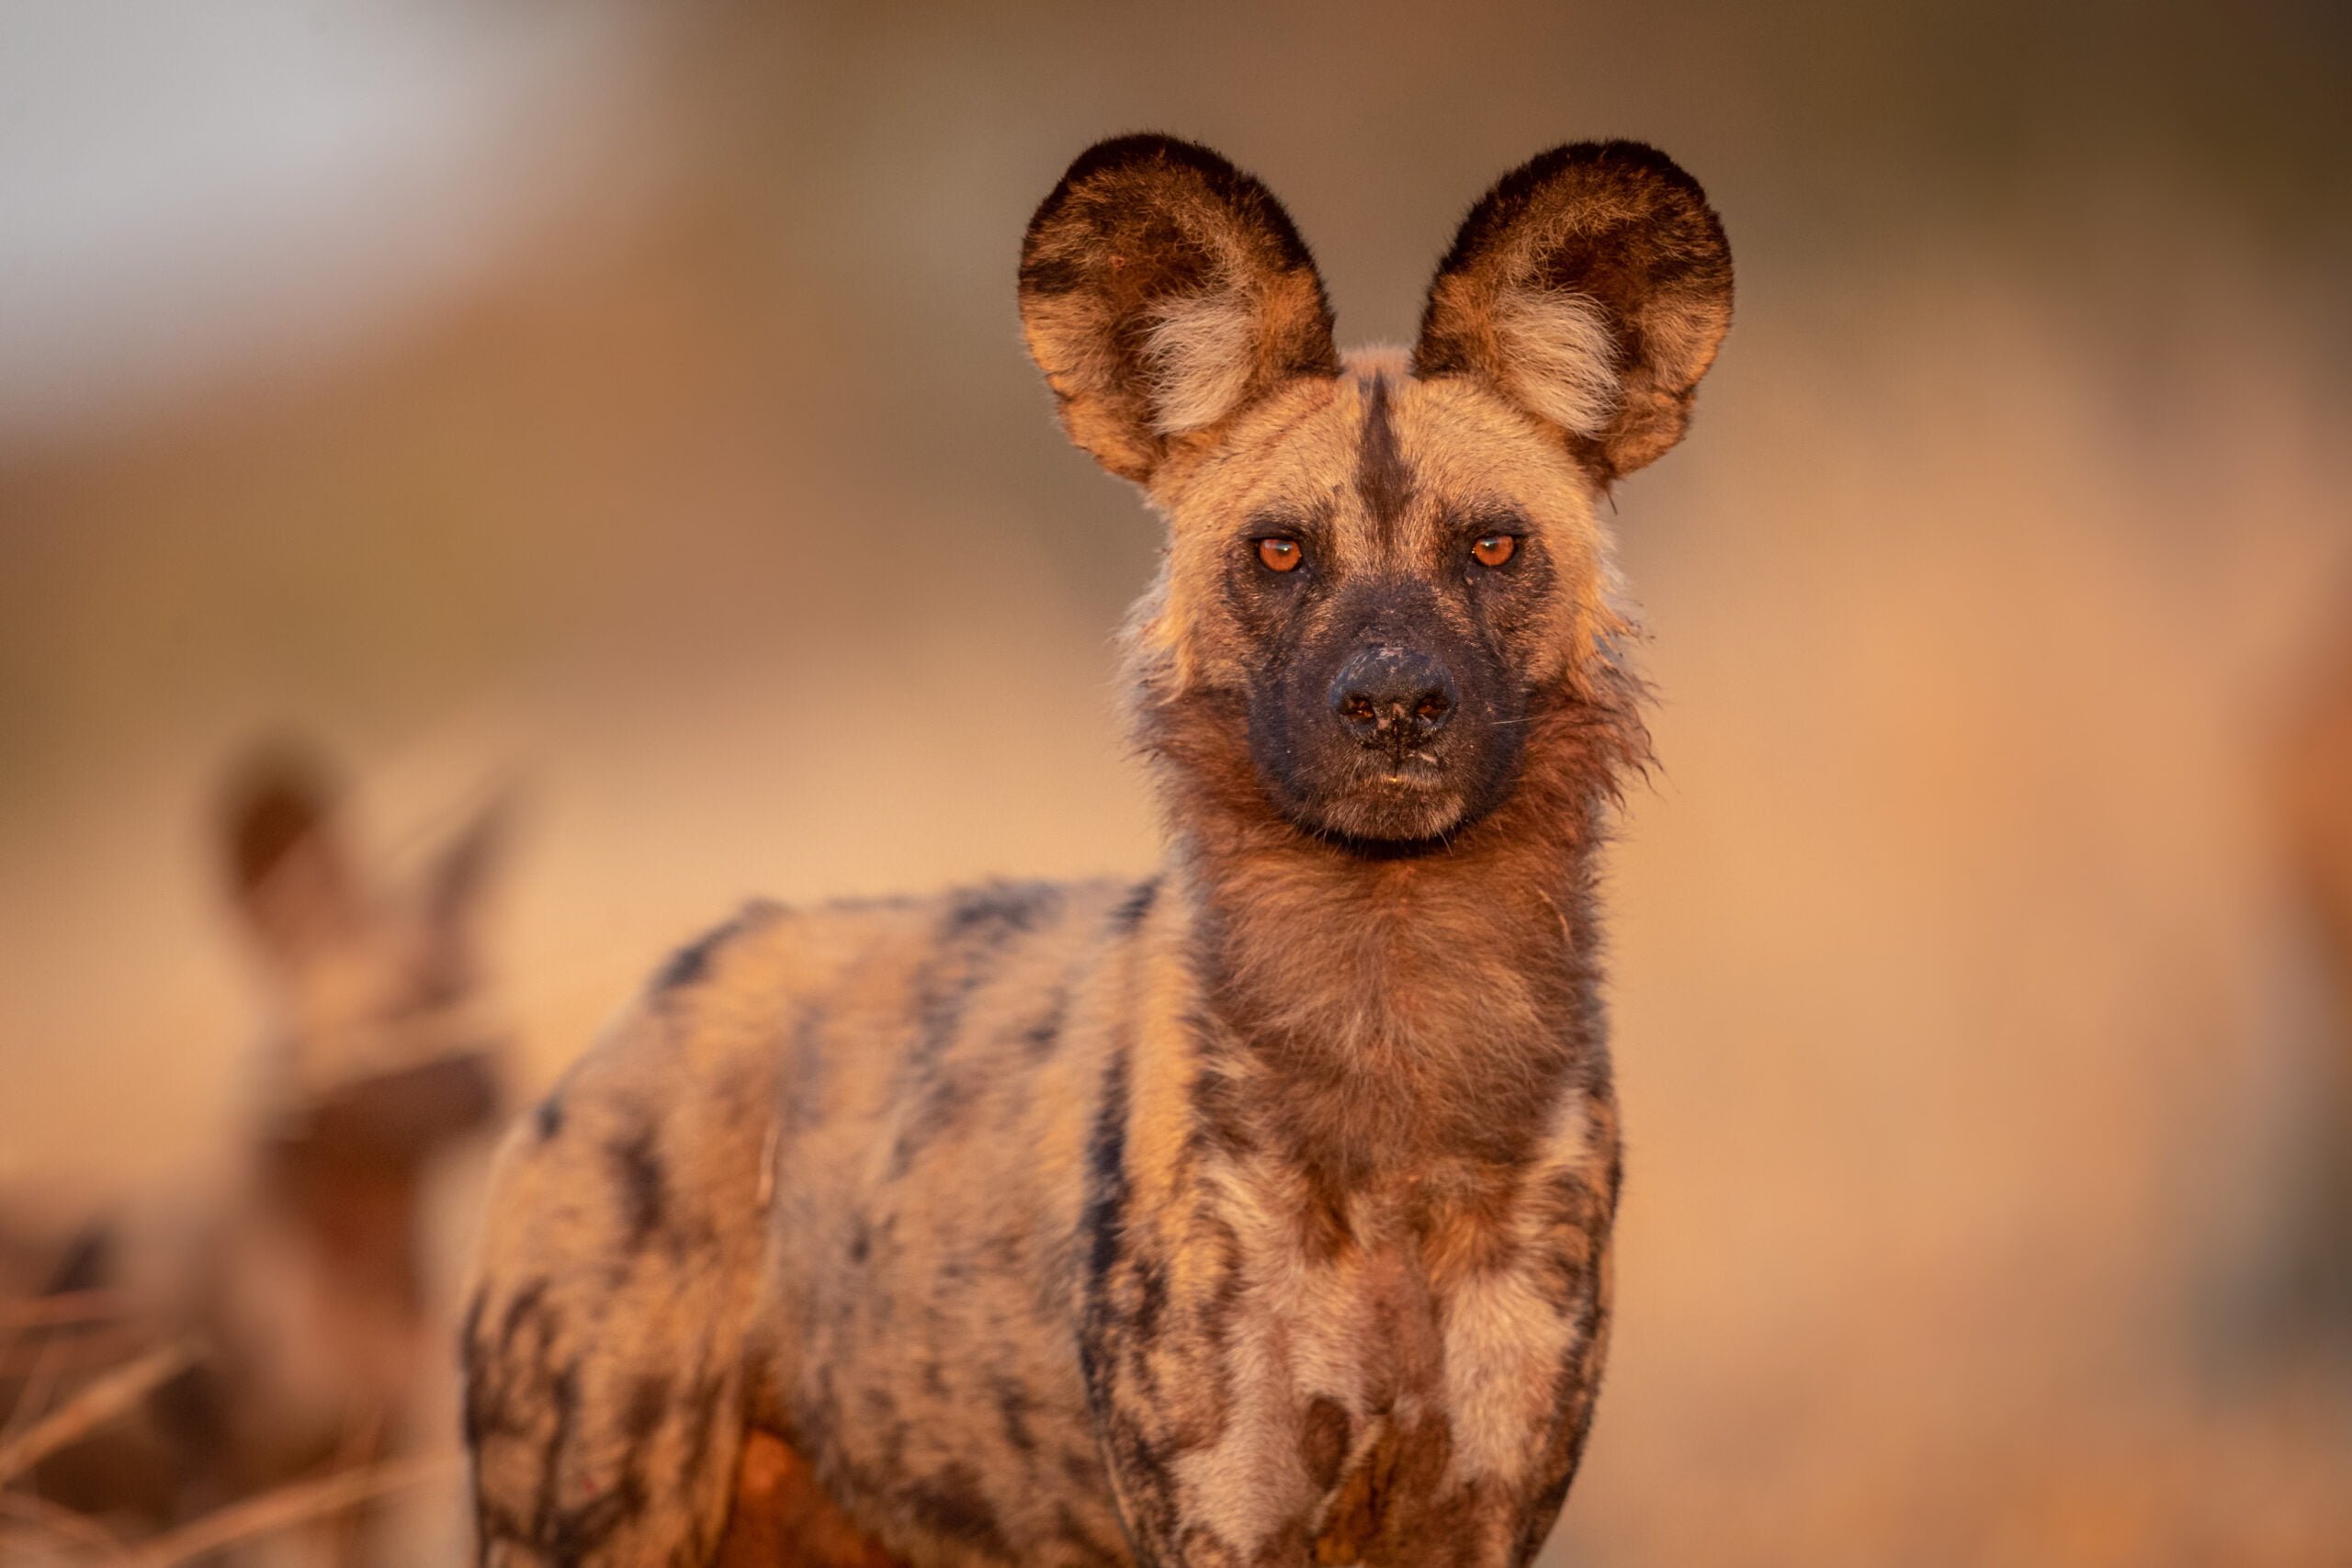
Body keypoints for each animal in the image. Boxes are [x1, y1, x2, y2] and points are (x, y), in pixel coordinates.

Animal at [468, 138, 1740, 1568]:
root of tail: (643, 1008)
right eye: (1279, 551)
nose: (1395, 703)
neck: (1392, 1046)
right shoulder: (1222, 1523)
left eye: (1493, 545)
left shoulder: (1474, 1515)